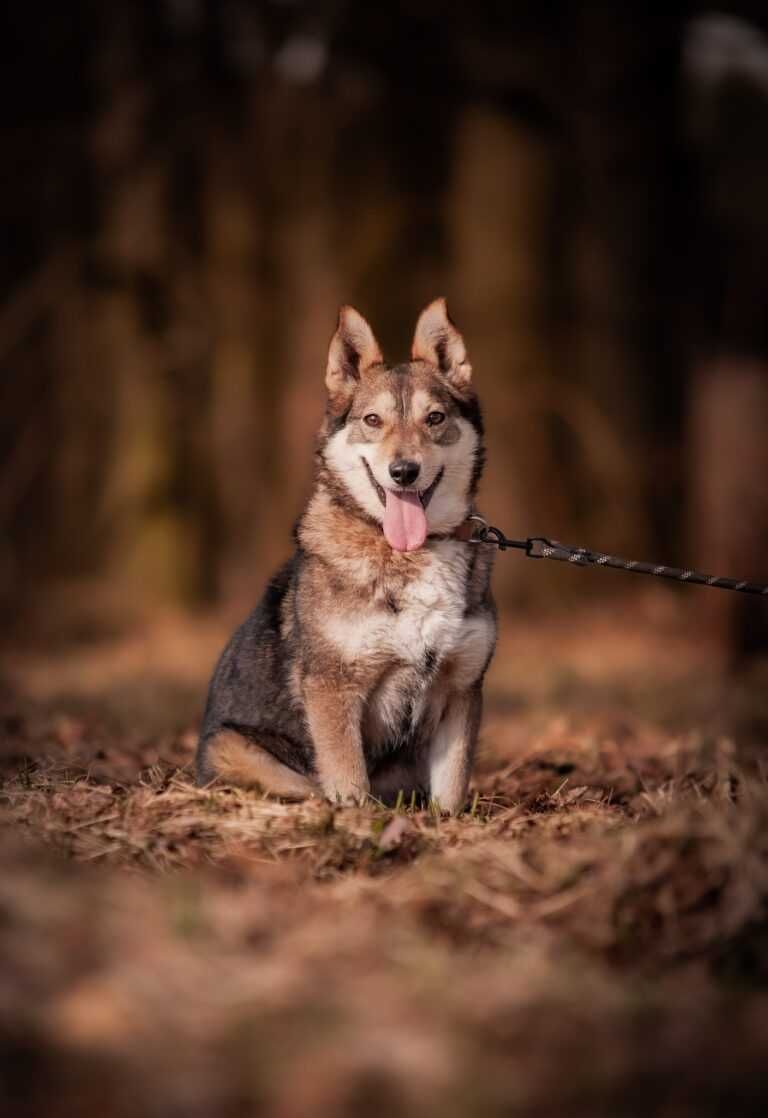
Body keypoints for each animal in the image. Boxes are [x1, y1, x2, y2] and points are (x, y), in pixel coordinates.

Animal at [196, 299, 498, 813]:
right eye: (372, 420)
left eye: (435, 418)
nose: (403, 471)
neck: (409, 553)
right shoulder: (334, 689)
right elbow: (349, 783)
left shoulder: (461, 690)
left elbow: (452, 792)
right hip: (231, 746)